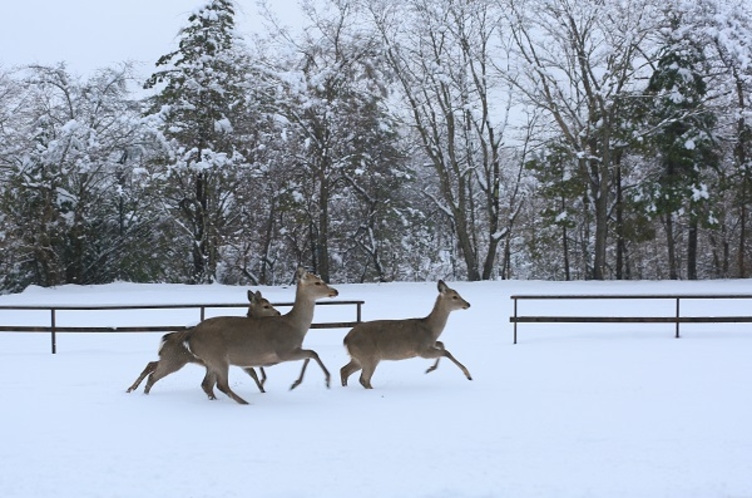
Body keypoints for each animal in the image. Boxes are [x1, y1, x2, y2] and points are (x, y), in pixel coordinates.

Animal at [126, 290, 282, 394]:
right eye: (266, 306)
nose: (278, 313)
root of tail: (166, 339)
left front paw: (263, 385)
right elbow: (253, 372)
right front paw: (262, 388)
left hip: (171, 357)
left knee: (151, 364)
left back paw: (131, 389)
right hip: (175, 359)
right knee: (154, 373)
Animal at [185, 268, 338, 404]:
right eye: (317, 282)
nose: (335, 291)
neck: (296, 327)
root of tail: (190, 337)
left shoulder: (293, 349)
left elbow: (309, 356)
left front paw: (295, 383)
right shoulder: (284, 351)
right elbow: (313, 353)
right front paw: (327, 380)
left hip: (211, 359)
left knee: (207, 384)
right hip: (217, 355)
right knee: (221, 384)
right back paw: (246, 403)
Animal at [340, 280, 470, 390]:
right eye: (454, 296)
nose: (468, 304)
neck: (430, 330)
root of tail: (346, 340)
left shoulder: (431, 344)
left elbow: (442, 344)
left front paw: (430, 369)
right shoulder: (421, 349)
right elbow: (446, 352)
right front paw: (468, 374)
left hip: (358, 358)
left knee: (344, 370)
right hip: (369, 356)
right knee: (363, 379)